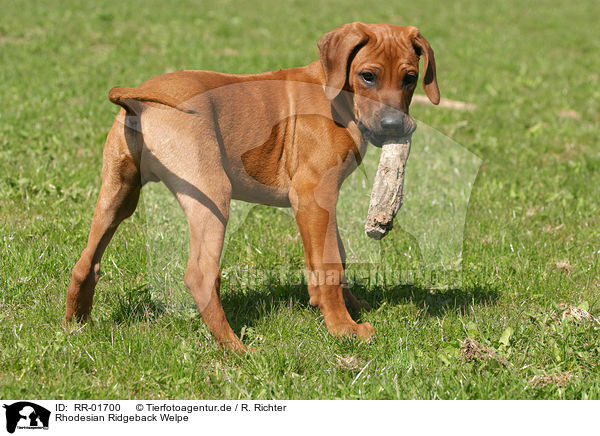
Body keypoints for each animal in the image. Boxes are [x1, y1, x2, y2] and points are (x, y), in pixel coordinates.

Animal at [64, 23, 440, 350]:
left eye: (409, 79)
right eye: (367, 76)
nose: (394, 126)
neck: (336, 96)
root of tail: (139, 99)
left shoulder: (324, 199)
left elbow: (338, 255)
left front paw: (350, 307)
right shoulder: (313, 195)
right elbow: (329, 264)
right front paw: (342, 327)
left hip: (118, 193)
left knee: (86, 262)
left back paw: (74, 325)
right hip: (213, 194)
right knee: (200, 275)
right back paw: (235, 348)